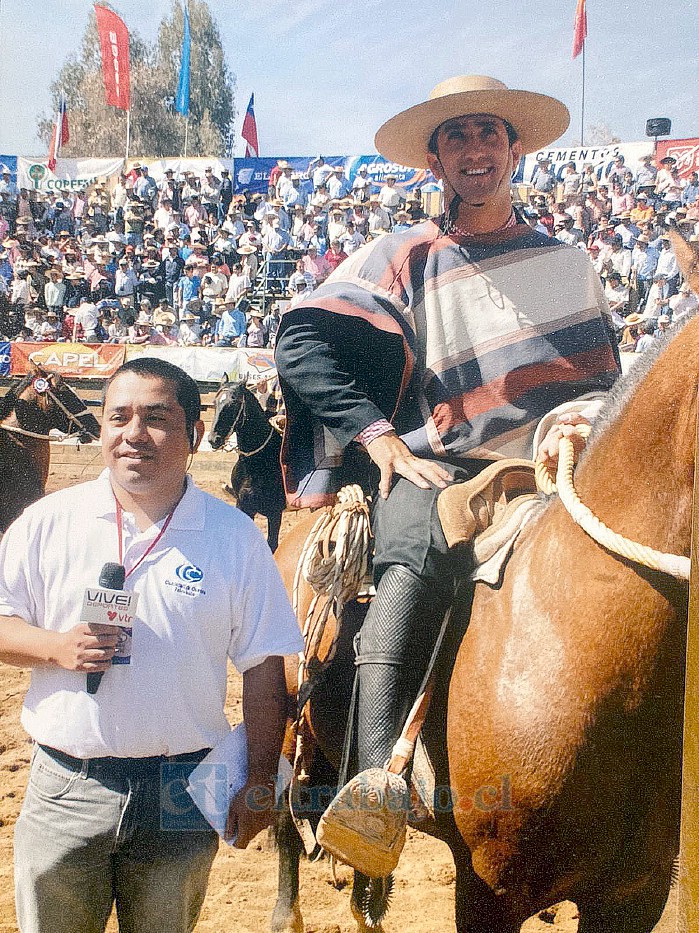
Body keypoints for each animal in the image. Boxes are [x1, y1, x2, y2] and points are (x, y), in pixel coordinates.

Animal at [208, 376, 284, 552]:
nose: (214, 439)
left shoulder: (275, 512)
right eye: (215, 402)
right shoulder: (243, 505)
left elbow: (272, 544)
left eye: (234, 403)